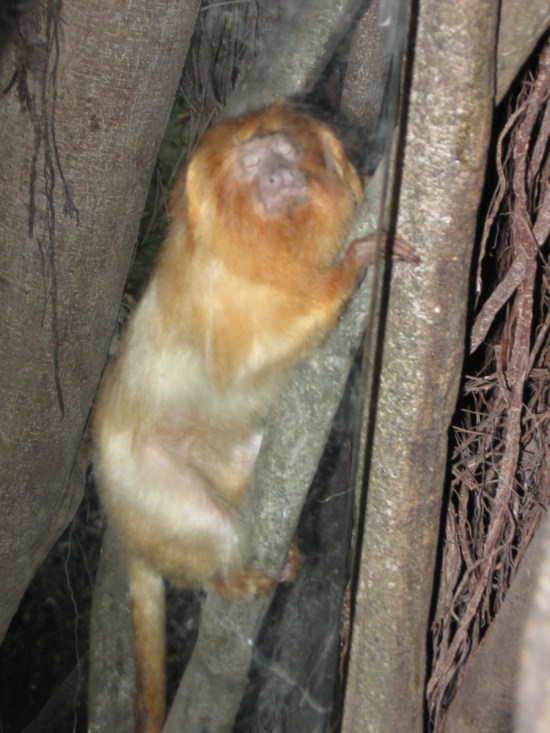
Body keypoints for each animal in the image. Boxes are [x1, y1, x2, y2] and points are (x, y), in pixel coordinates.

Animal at [92, 103, 410, 733]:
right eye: (251, 166)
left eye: (282, 152)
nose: (277, 176)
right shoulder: (212, 290)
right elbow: (245, 363)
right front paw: (351, 266)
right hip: (139, 480)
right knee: (210, 529)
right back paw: (228, 577)